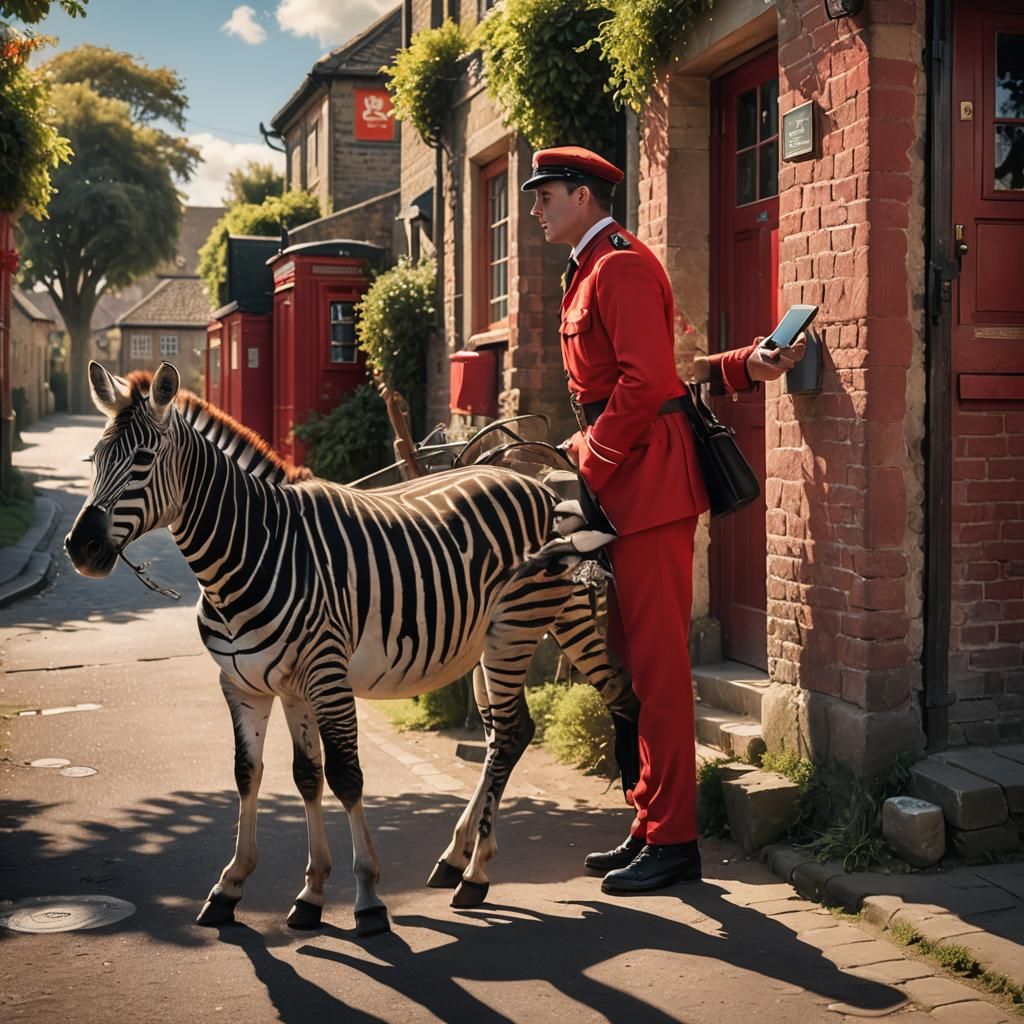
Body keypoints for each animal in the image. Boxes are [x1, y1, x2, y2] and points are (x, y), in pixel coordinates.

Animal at [65, 362, 639, 937]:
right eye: (94, 459)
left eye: (143, 459)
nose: (80, 548)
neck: (248, 555)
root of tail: (537, 485)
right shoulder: (251, 685)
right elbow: (272, 775)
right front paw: (259, 887)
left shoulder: (326, 678)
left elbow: (345, 777)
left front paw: (366, 897)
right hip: (519, 632)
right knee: (530, 725)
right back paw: (462, 858)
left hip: (518, 629)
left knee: (552, 718)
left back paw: (483, 873)